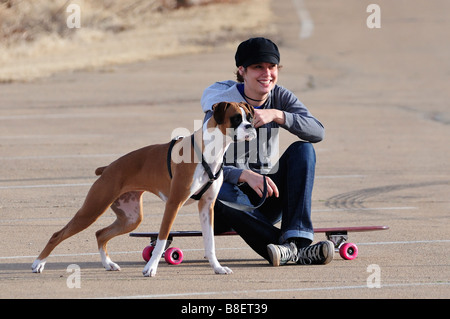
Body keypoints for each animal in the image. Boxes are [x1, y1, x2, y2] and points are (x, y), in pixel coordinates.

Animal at [30, 102, 256, 278]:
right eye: (236, 118)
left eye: (250, 117)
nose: (251, 126)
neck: (208, 151)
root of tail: (107, 168)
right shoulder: (173, 204)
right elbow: (162, 239)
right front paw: (151, 268)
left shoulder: (206, 207)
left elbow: (210, 243)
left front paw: (217, 268)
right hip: (92, 210)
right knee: (58, 234)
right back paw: (38, 263)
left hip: (131, 219)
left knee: (100, 234)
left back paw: (108, 264)